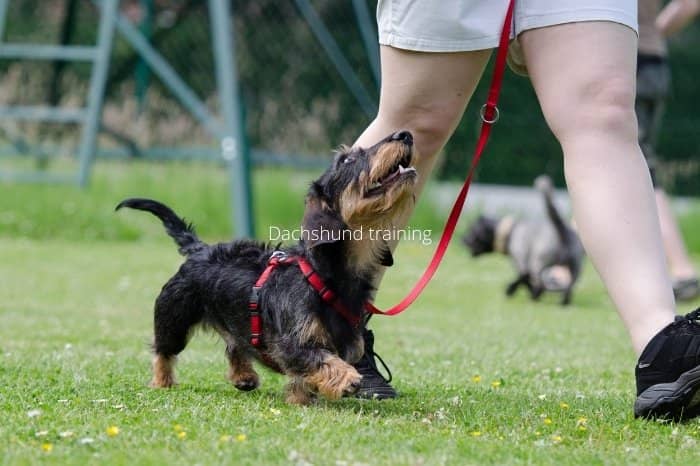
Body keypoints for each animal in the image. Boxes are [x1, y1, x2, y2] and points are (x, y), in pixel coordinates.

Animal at [118, 129, 418, 402]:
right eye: (346, 160)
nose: (404, 134)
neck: (324, 274)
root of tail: (200, 249)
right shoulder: (291, 344)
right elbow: (319, 359)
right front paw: (346, 378)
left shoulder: (348, 343)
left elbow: (306, 376)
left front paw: (301, 398)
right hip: (174, 318)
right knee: (163, 351)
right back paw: (162, 381)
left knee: (234, 345)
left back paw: (244, 376)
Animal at [462, 175, 584, 306]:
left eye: (471, 231)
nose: (462, 239)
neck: (510, 231)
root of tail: (561, 228)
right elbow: (525, 279)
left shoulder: (521, 262)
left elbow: (523, 278)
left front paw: (511, 290)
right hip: (574, 267)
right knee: (568, 287)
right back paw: (562, 302)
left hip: (539, 262)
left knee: (541, 283)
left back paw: (535, 296)